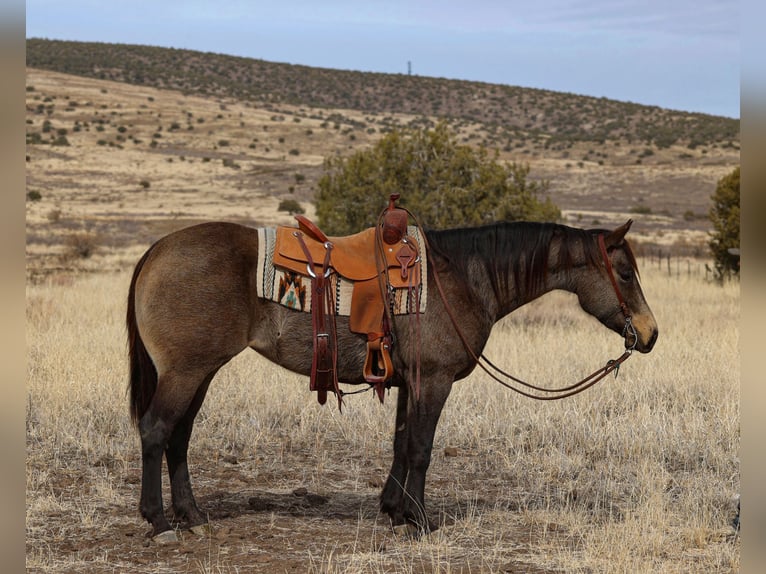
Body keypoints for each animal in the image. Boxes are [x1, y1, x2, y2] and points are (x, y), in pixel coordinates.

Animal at [127, 217, 660, 544]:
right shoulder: (434, 381)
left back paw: (192, 515)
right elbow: (421, 449)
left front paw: (394, 510)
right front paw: (420, 520)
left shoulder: (409, 382)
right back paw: (159, 520)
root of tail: (158, 249)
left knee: (179, 438)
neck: (464, 277)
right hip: (187, 371)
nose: (651, 334)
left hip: (200, 372)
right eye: (625, 272)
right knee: (156, 431)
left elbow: (401, 445)